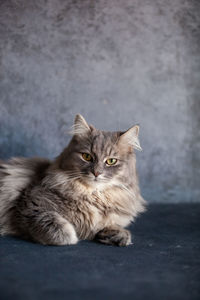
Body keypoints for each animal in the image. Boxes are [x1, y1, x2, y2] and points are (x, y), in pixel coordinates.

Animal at [0, 115, 147, 246]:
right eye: (87, 157)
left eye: (111, 161)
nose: (96, 173)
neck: (93, 196)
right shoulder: (30, 205)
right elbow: (54, 223)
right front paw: (72, 236)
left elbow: (109, 226)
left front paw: (119, 236)